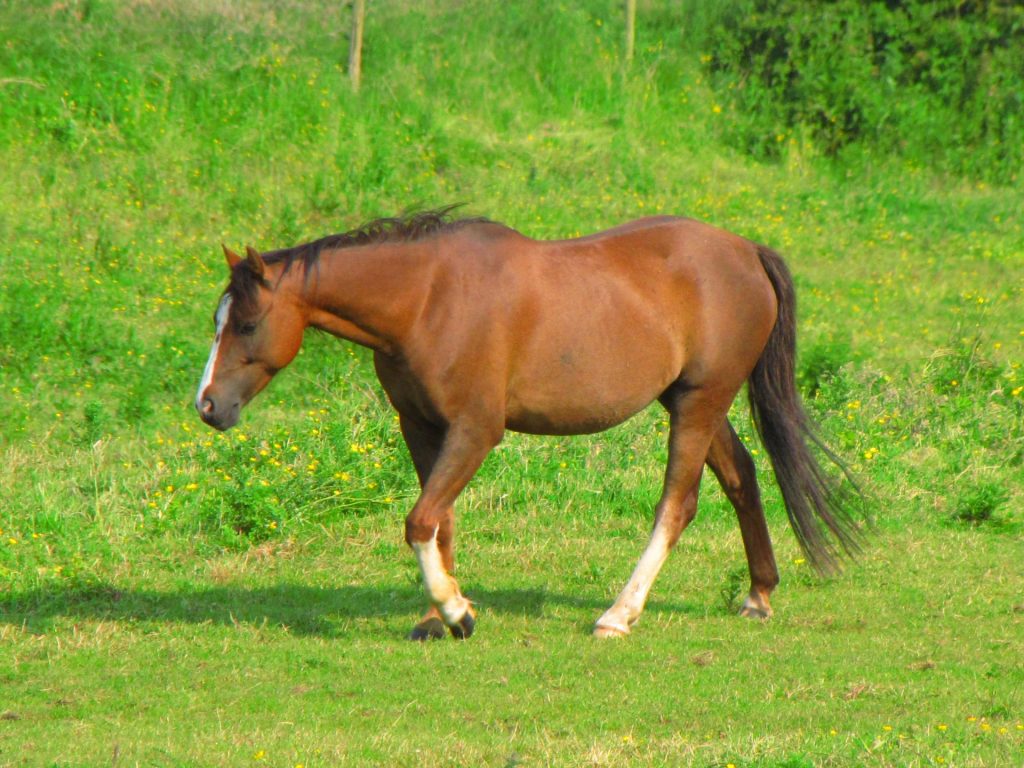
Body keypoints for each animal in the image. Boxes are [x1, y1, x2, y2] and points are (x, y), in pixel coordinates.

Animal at [195, 208, 861, 640]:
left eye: (248, 324)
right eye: (217, 319)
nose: (208, 406)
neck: (427, 300)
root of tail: (746, 250)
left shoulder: (475, 430)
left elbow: (419, 520)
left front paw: (457, 612)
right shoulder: (421, 428)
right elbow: (440, 520)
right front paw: (437, 617)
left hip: (701, 403)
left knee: (678, 503)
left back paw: (619, 615)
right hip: (691, 402)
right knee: (742, 478)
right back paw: (758, 595)